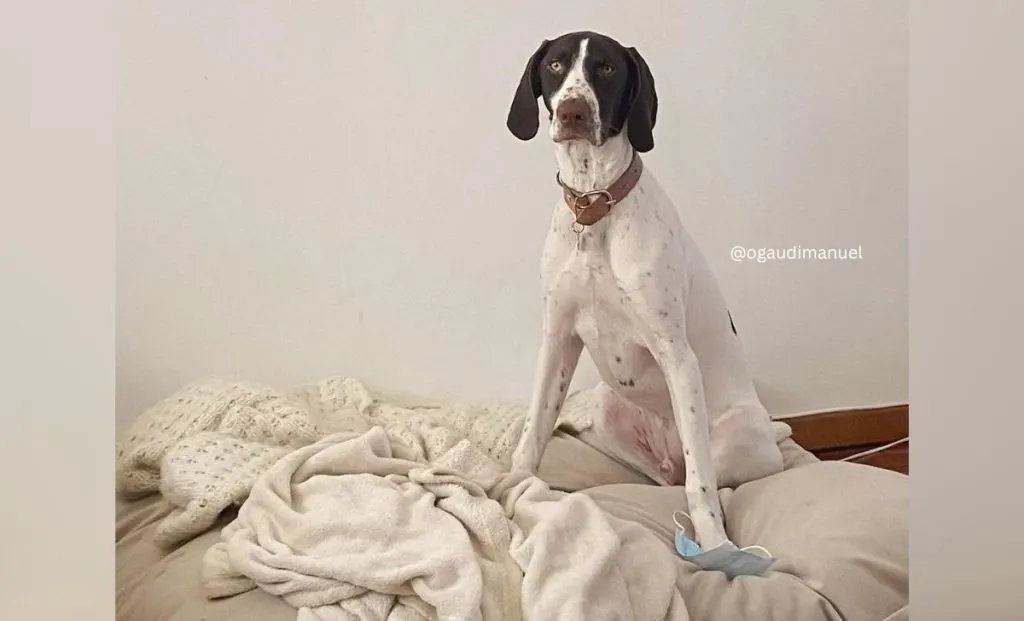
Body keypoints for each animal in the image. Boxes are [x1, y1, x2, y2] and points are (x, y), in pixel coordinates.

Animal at [503, 31, 782, 553]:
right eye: (555, 65)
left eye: (608, 68)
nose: (573, 111)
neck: (594, 206)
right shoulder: (558, 341)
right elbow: (533, 433)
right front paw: (512, 486)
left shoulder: (677, 355)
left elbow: (701, 485)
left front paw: (714, 543)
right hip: (607, 406)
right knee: (664, 477)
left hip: (737, 436)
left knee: (704, 476)